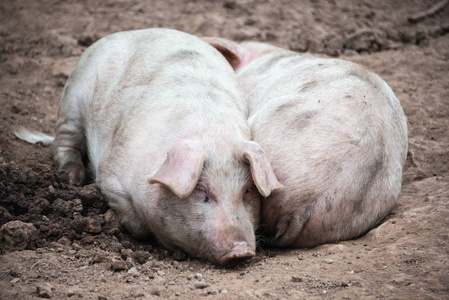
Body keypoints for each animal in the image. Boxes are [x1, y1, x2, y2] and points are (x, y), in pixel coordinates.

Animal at [20, 29, 284, 264]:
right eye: (201, 189)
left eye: (247, 190)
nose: (240, 251)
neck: (212, 134)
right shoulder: (110, 173)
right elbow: (134, 221)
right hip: (73, 93)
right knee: (65, 140)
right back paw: (72, 177)